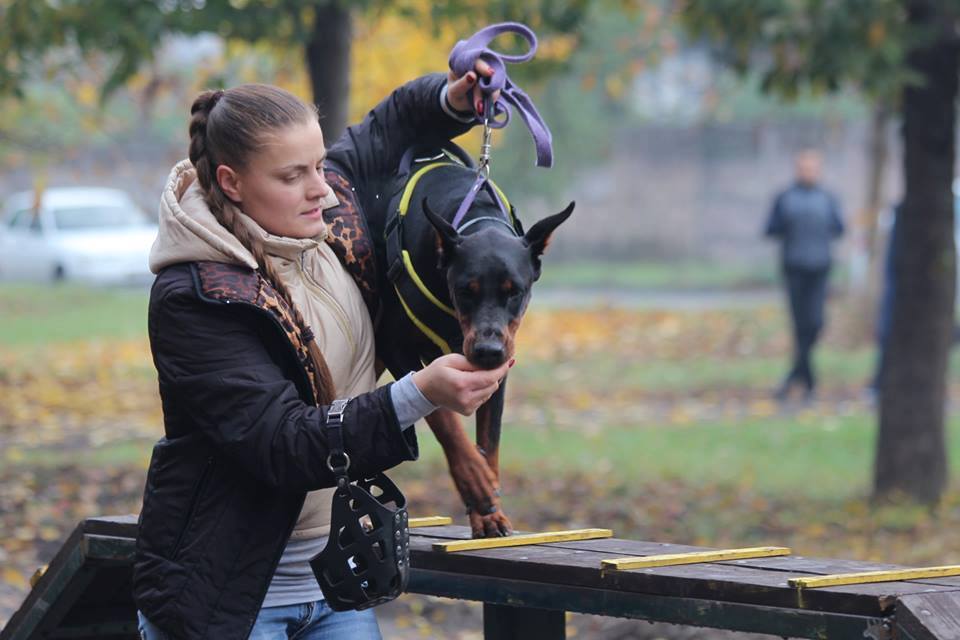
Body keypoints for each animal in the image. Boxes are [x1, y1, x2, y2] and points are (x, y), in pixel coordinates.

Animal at [364, 149, 572, 536]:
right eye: (465, 290)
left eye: (515, 291)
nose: (488, 352)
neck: (475, 215)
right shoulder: (394, 346)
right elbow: (444, 418)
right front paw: (474, 479)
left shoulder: (503, 358)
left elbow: (489, 441)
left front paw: (488, 514)